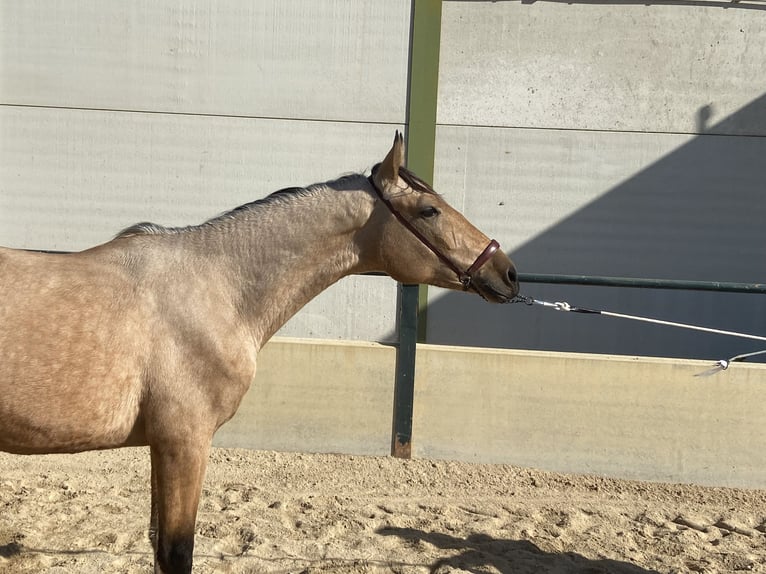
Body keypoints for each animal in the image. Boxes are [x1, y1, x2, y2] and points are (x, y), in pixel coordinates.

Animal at [0, 132, 520, 574]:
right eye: (430, 210)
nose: (507, 271)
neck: (216, 287)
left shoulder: (163, 446)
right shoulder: (184, 443)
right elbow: (176, 551)